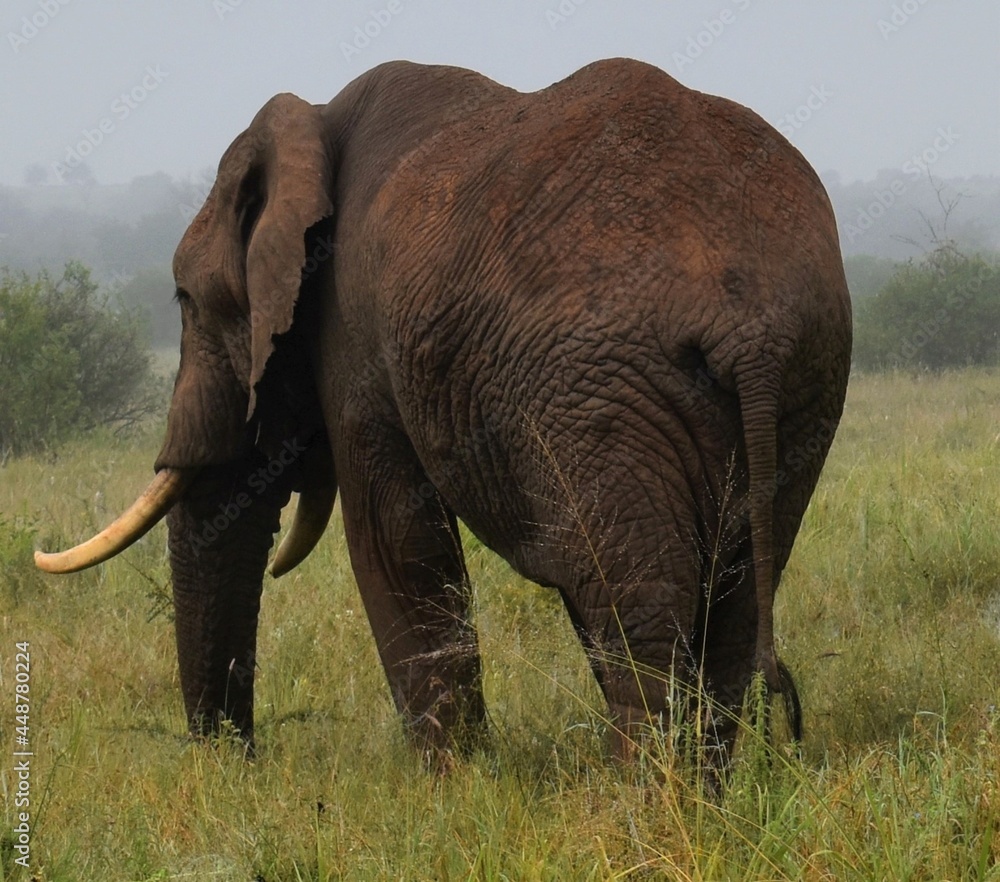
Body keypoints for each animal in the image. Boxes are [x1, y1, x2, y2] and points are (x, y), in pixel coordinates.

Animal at [36, 58, 851, 768]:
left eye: (182, 300)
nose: (240, 767)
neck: (315, 125)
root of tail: (749, 326)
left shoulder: (356, 335)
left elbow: (391, 536)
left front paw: (454, 786)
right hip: (800, 385)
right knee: (730, 610)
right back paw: (703, 799)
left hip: (601, 396)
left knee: (638, 612)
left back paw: (644, 808)